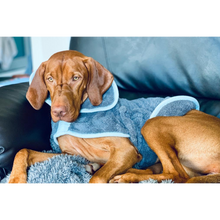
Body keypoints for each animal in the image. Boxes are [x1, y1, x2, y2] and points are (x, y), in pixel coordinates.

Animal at [9, 51, 220, 186]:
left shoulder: (126, 150)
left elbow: (97, 180)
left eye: (76, 78)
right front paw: (15, 179)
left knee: (177, 175)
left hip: (152, 125)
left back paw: (125, 177)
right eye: (50, 79)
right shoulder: (69, 153)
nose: (59, 111)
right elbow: (23, 151)